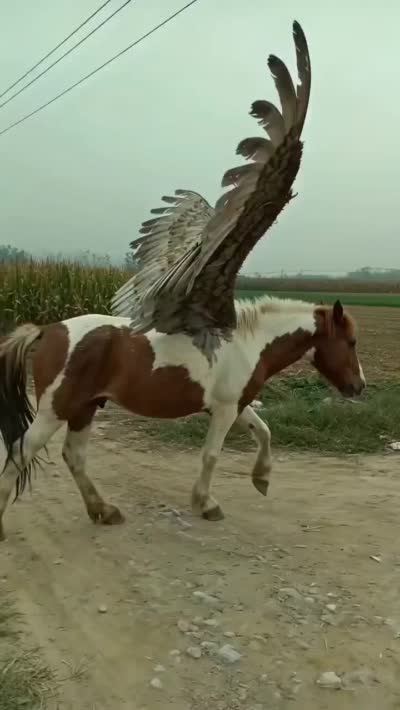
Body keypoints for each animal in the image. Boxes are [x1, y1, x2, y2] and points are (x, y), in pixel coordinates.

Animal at [0, 295, 365, 540]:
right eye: (350, 341)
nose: (359, 386)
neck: (248, 344)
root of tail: (48, 330)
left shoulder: (236, 404)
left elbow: (264, 432)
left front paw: (261, 478)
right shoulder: (225, 409)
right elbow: (212, 455)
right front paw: (206, 504)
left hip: (84, 408)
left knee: (73, 456)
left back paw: (104, 511)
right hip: (56, 410)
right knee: (20, 452)